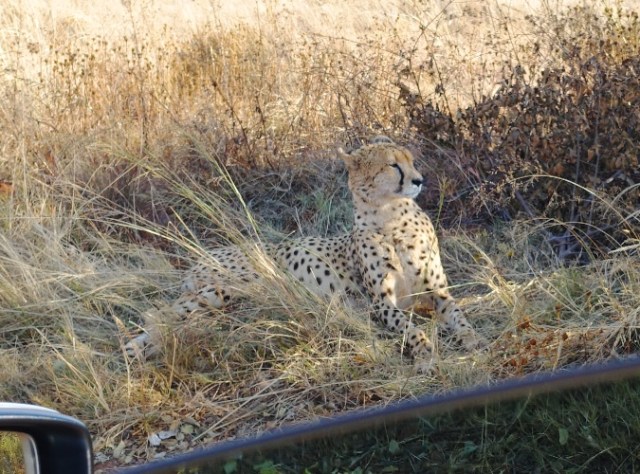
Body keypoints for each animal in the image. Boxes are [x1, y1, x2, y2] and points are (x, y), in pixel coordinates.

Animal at [124, 137, 483, 367]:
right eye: (393, 165)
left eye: (411, 161)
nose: (420, 180)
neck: (391, 215)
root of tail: (203, 256)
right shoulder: (381, 303)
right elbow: (410, 327)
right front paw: (424, 351)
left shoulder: (438, 293)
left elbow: (460, 316)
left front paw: (472, 341)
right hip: (230, 288)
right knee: (159, 314)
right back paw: (135, 350)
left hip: (219, 299)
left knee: (167, 316)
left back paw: (137, 350)